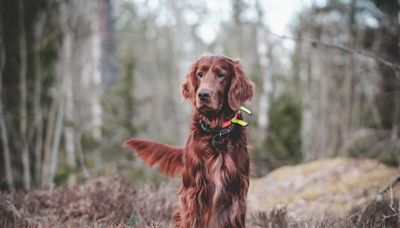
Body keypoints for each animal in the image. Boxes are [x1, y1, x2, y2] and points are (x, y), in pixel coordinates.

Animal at [123, 54, 255, 226]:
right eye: (200, 74)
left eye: (221, 75)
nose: (203, 95)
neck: (216, 132)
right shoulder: (194, 190)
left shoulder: (236, 193)